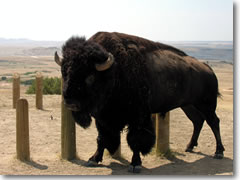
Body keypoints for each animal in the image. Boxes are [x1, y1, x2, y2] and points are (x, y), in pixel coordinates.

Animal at [54, 31, 225, 172]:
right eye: (64, 72)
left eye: (90, 76)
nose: (70, 102)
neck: (114, 71)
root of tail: (208, 69)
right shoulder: (103, 118)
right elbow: (102, 138)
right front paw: (93, 159)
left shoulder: (138, 117)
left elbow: (135, 139)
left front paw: (135, 164)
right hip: (188, 105)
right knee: (198, 121)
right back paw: (189, 146)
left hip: (207, 105)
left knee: (214, 122)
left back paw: (219, 152)